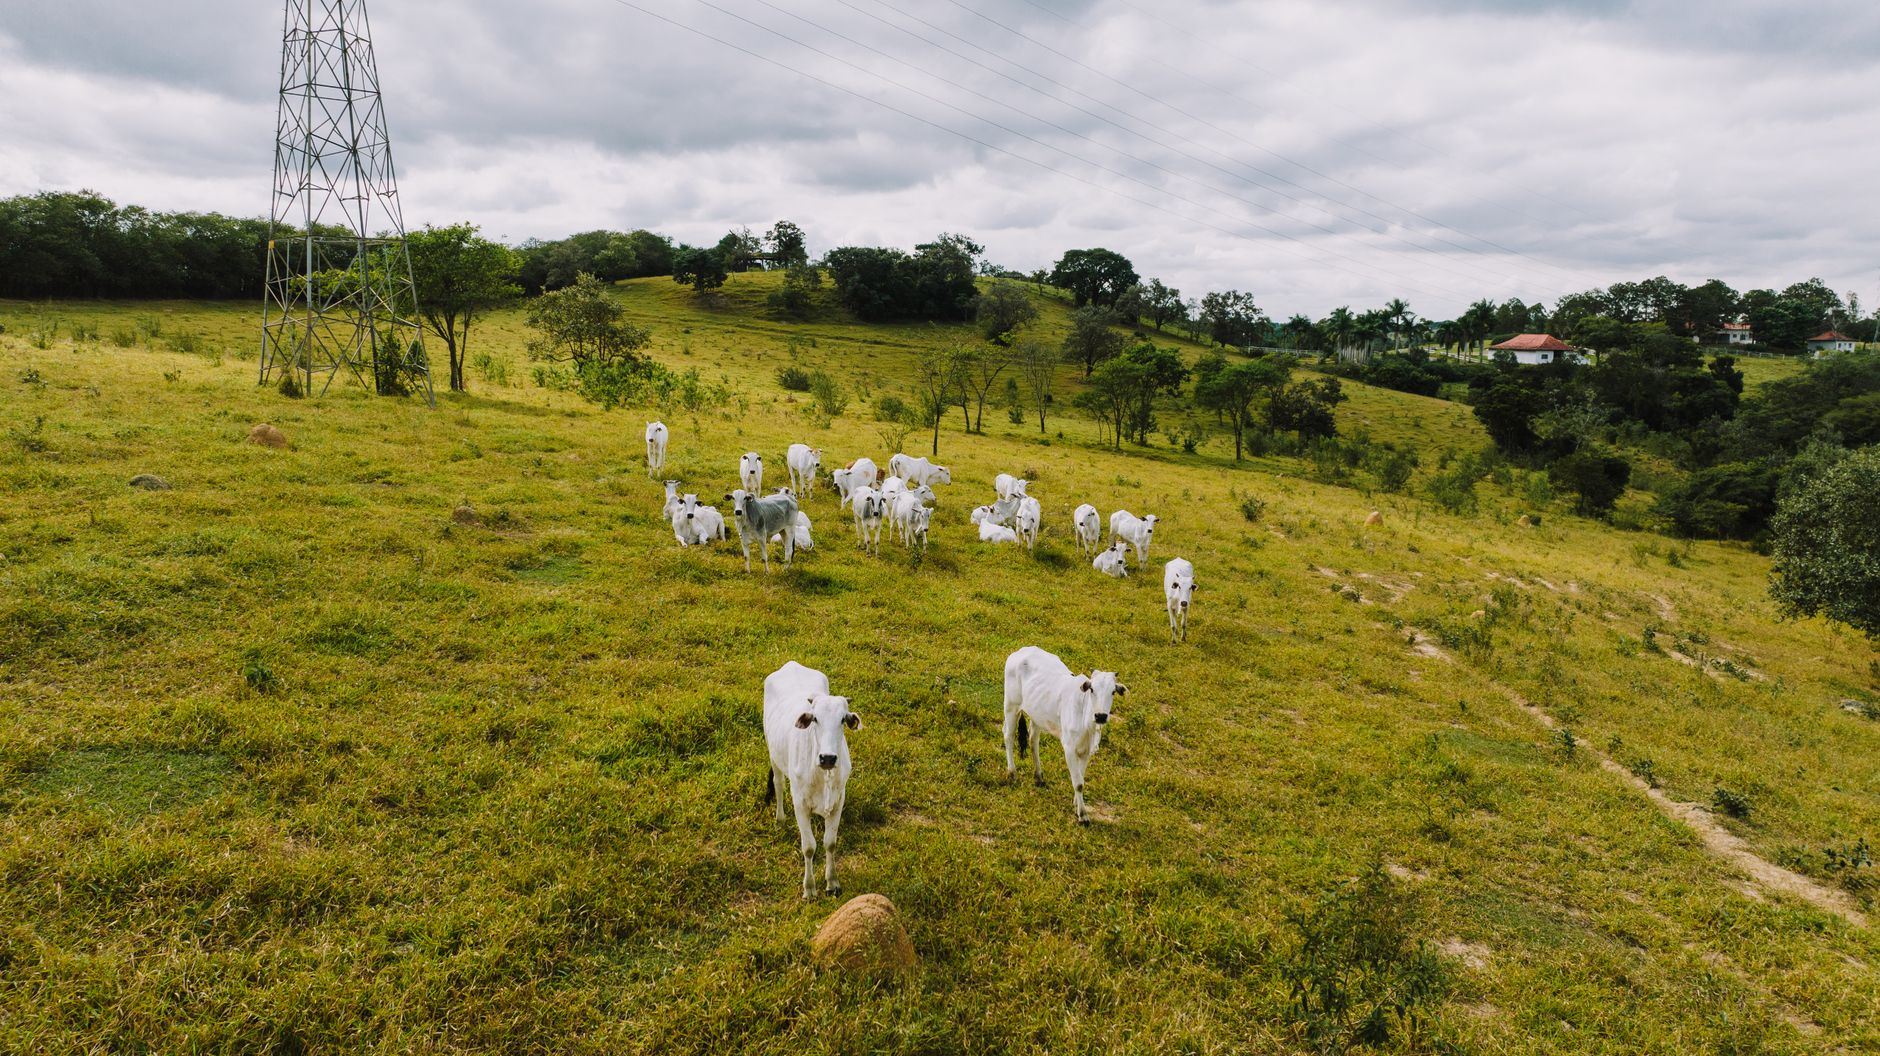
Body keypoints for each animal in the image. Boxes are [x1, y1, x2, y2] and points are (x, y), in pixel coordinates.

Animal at [763, 661, 860, 899]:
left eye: (843, 719)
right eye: (815, 718)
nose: (828, 758)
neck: (822, 776)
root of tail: (791, 664)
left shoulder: (838, 801)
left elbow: (829, 843)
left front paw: (832, 882)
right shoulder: (800, 803)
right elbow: (808, 847)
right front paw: (809, 888)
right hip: (773, 754)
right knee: (778, 784)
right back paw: (780, 820)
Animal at [1000, 646, 1125, 825]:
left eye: (1113, 692)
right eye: (1092, 689)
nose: (1100, 716)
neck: (1087, 723)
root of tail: (1021, 651)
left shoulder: (1086, 750)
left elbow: (1081, 777)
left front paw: (1076, 804)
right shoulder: (1069, 748)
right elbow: (1078, 783)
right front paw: (1083, 815)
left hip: (1037, 714)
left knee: (1033, 740)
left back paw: (1039, 776)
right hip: (1011, 705)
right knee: (1008, 735)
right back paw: (1012, 773)